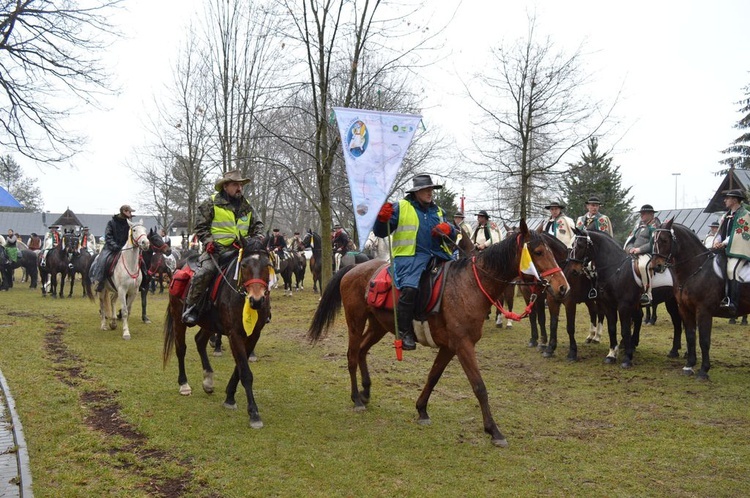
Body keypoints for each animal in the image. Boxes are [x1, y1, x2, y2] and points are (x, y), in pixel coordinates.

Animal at [162, 241, 274, 428]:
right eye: (244, 265)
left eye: (267, 265)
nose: (256, 300)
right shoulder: (234, 334)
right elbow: (245, 373)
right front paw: (254, 413)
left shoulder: (253, 335)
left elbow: (240, 368)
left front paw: (229, 398)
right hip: (179, 318)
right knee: (181, 349)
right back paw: (184, 384)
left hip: (209, 323)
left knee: (199, 341)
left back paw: (208, 380)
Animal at [306, 220, 568, 446]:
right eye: (537, 252)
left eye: (550, 251)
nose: (562, 287)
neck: (470, 285)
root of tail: (354, 268)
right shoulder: (463, 345)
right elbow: (479, 387)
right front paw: (494, 430)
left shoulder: (450, 347)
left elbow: (433, 377)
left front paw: (422, 409)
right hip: (356, 321)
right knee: (351, 355)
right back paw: (357, 399)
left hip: (378, 326)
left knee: (361, 351)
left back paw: (366, 391)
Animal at [656, 220, 744, 380]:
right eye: (653, 239)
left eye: (664, 240)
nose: (656, 266)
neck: (696, 269)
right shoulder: (685, 309)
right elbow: (691, 336)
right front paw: (689, 365)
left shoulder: (704, 311)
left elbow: (704, 340)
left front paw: (704, 370)